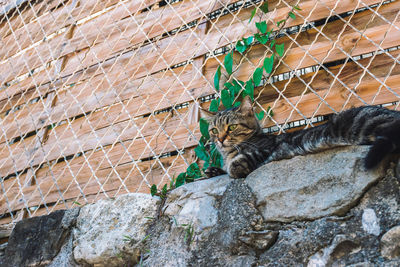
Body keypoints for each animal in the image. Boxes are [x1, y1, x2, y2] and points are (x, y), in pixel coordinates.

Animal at [202, 96, 400, 180]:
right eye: (214, 130)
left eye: (232, 127)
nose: (220, 139)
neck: (228, 154)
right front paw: (213, 170)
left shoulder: (262, 151)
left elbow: (236, 166)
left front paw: (229, 168)